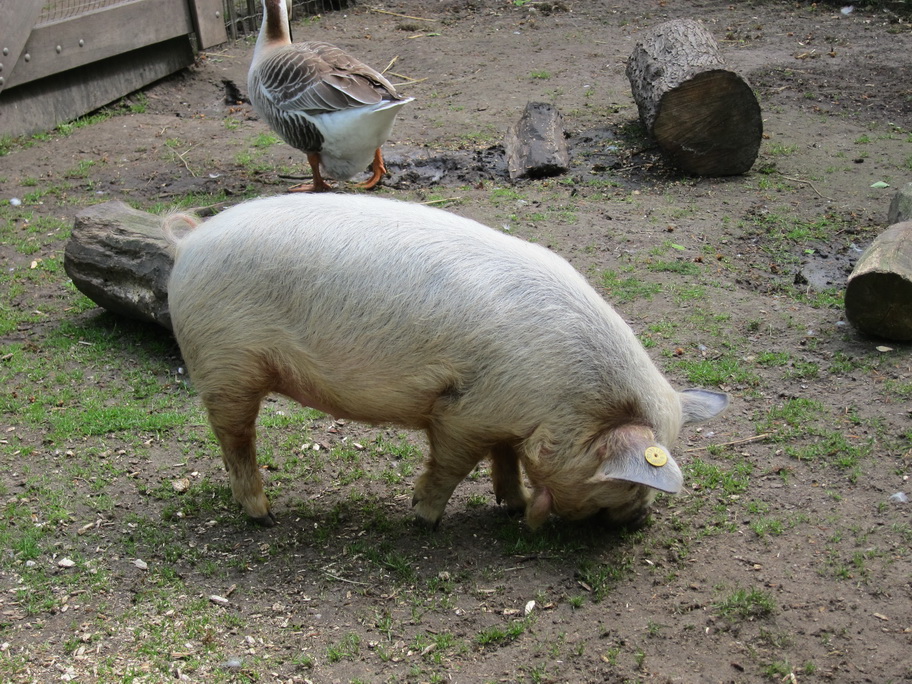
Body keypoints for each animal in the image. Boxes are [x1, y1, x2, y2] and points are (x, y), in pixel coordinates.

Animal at [165, 193, 728, 530]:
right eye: (629, 481)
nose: (640, 522)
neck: (566, 402)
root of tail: (189, 239)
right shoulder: (464, 413)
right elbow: (453, 465)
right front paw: (424, 518)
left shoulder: (504, 417)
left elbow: (504, 459)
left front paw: (513, 505)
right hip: (226, 362)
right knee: (235, 438)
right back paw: (264, 515)